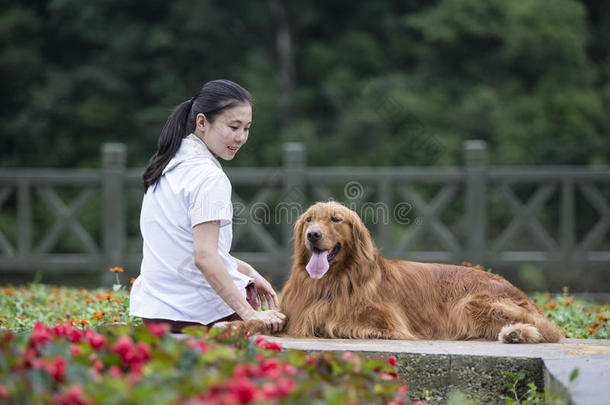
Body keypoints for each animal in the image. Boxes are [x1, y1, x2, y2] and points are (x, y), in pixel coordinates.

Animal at [218, 200, 560, 342]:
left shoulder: (389, 322)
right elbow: (264, 322)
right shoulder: (295, 311)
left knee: (549, 331)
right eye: (309, 219)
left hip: (471, 303)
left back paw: (517, 333)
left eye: (335, 219)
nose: (312, 235)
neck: (332, 281)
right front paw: (234, 325)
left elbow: (337, 321)